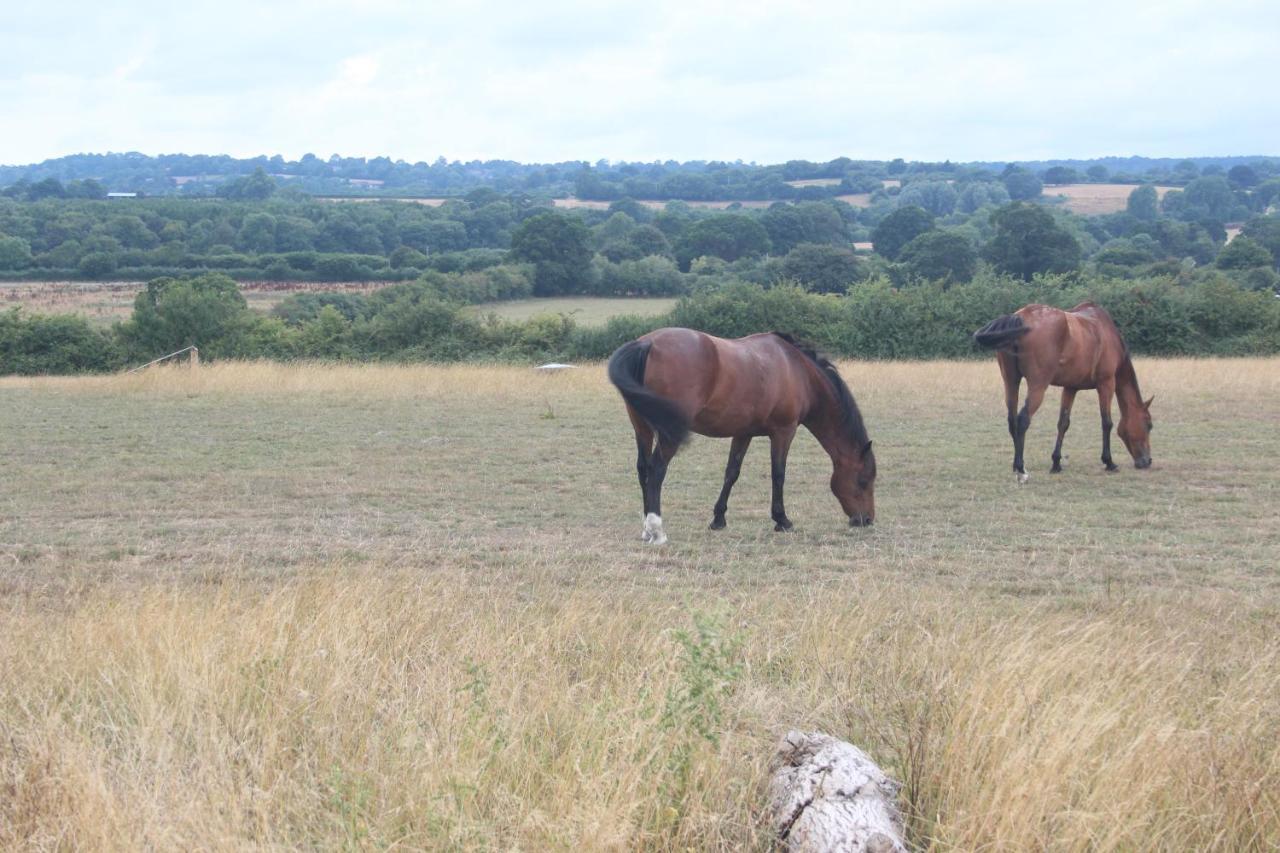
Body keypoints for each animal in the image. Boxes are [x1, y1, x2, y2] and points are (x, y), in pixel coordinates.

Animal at [606, 325, 870, 545]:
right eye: (863, 481)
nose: (866, 520)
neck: (796, 369)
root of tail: (647, 343)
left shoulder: (743, 433)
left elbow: (731, 473)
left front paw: (718, 519)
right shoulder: (784, 431)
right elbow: (778, 474)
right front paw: (782, 520)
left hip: (642, 427)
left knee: (643, 468)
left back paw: (646, 530)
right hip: (667, 434)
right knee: (657, 469)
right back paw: (657, 530)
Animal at [972, 303, 1157, 481]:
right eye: (1149, 425)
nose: (1147, 461)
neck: (1107, 333)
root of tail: (1020, 317)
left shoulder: (1070, 388)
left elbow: (1063, 423)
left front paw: (1056, 463)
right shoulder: (1106, 384)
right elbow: (1106, 423)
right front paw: (1109, 461)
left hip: (1011, 382)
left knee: (1012, 421)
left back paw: (1016, 466)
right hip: (1038, 385)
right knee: (1023, 419)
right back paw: (1021, 470)